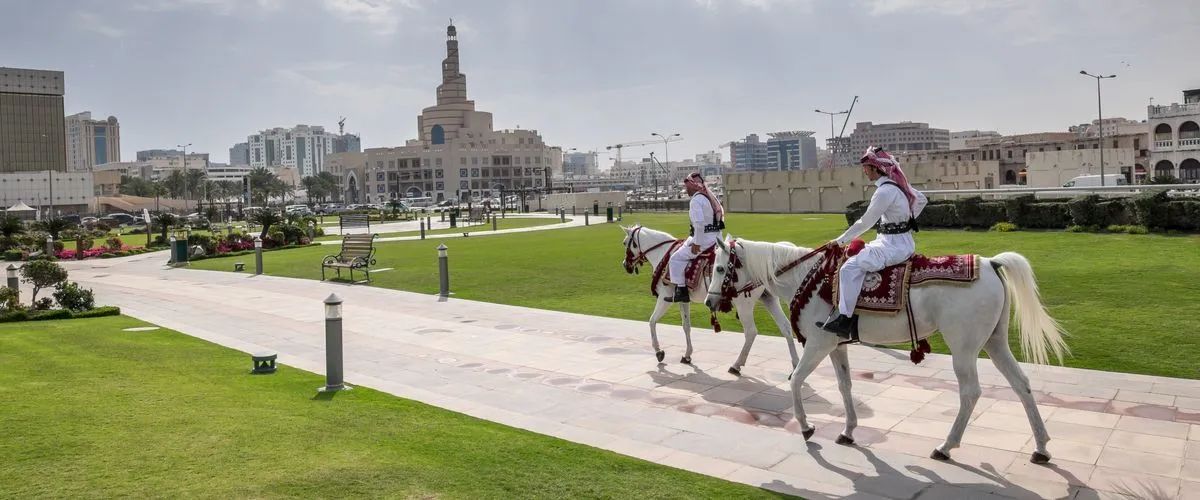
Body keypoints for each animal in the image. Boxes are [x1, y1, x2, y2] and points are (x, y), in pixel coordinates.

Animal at [624, 224, 801, 371]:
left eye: (625, 242)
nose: (625, 265)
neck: (664, 253)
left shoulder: (664, 298)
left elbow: (652, 321)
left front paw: (658, 351)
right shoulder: (683, 300)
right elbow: (686, 326)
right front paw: (687, 355)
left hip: (743, 304)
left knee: (751, 332)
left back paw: (737, 365)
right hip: (769, 298)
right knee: (785, 327)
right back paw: (795, 365)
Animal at [700, 235, 1070, 462]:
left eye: (718, 267)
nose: (709, 301)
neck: (809, 278)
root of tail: (991, 263)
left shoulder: (818, 344)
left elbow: (796, 381)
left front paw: (806, 426)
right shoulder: (836, 345)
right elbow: (845, 385)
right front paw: (848, 431)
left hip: (963, 348)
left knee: (970, 392)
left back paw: (946, 446)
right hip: (995, 341)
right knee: (1021, 384)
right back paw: (1041, 447)